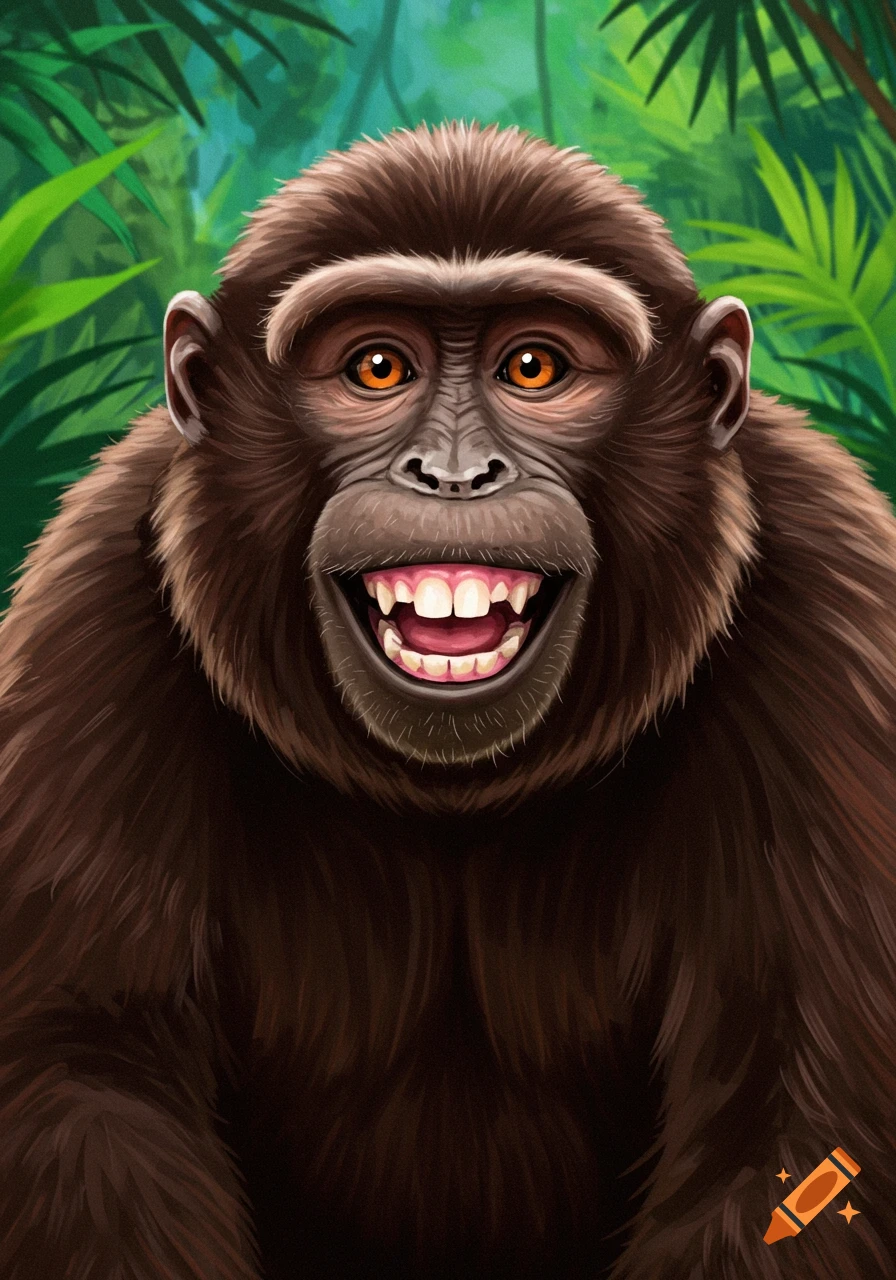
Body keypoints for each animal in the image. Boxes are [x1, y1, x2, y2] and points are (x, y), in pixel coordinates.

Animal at [0, 121, 895, 1280]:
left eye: (534, 366)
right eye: (376, 366)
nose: (456, 472)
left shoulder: (839, 635)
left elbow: (791, 1128)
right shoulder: (85, 632)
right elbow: (85, 1084)